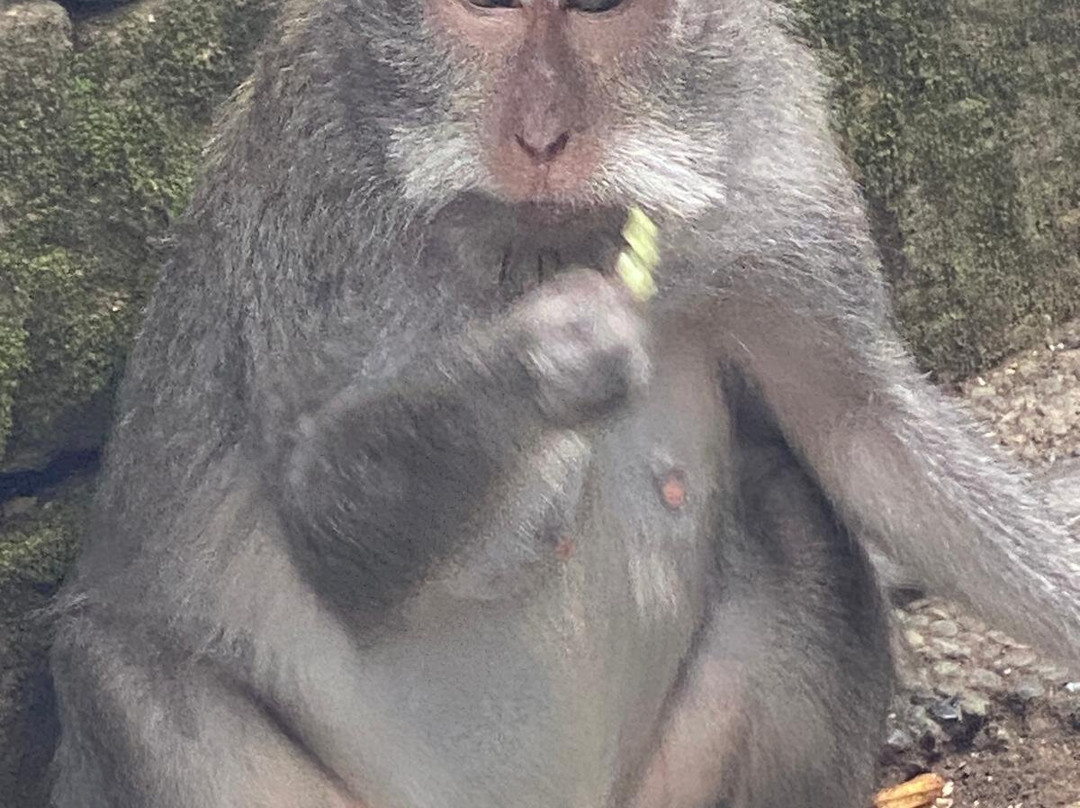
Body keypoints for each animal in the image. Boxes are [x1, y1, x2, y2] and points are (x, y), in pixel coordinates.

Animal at [46, 1, 1079, 807]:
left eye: (597, 7)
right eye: (487, 6)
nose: (541, 139)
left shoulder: (771, 149)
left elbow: (864, 429)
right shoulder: (313, 186)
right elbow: (327, 528)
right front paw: (546, 354)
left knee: (791, 505)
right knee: (116, 674)